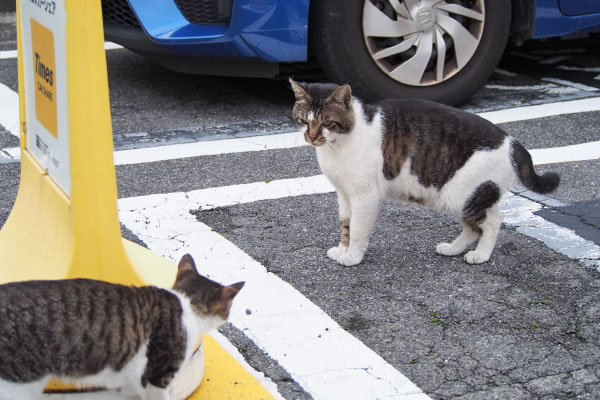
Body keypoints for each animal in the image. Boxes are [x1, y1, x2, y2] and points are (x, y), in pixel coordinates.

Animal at [0, 255, 244, 398]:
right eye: (228, 309)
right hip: (19, 383)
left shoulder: (131, 380)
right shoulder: (156, 376)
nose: (229, 316)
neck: (185, 302)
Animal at [292, 78, 564, 266]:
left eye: (327, 122)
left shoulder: (364, 195)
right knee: (474, 227)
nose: (311, 136)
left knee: (493, 221)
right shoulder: (344, 194)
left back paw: (480, 255)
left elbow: (358, 229)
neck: (337, 146)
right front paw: (342, 249)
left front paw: (352, 257)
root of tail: (513, 142)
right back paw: (452, 249)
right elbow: (345, 225)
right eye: (304, 120)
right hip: (457, 198)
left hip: (463, 194)